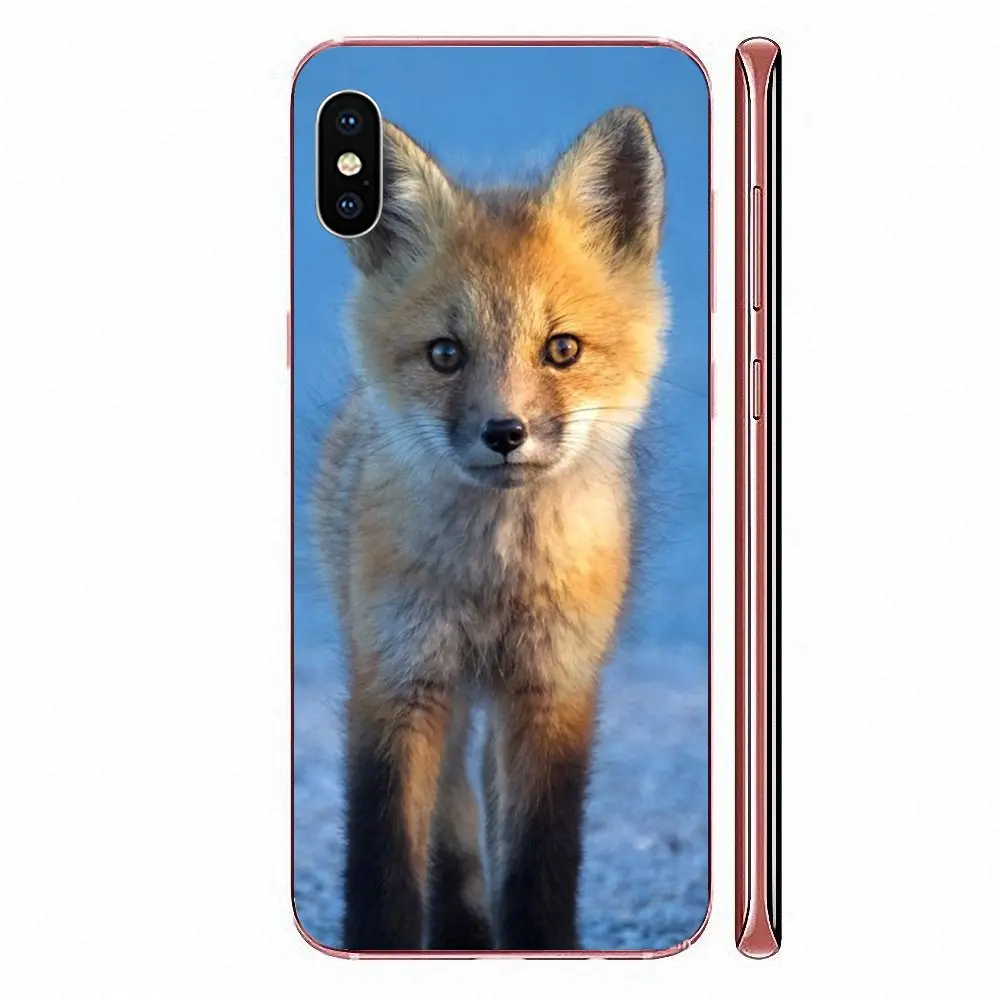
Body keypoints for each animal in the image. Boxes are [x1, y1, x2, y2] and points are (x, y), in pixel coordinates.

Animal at [314, 107, 668, 951]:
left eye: (562, 349)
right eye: (446, 354)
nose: (505, 432)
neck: (492, 582)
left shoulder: (553, 689)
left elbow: (541, 861)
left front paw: (541, 945)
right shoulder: (396, 682)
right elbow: (382, 860)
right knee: (453, 807)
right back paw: (463, 930)